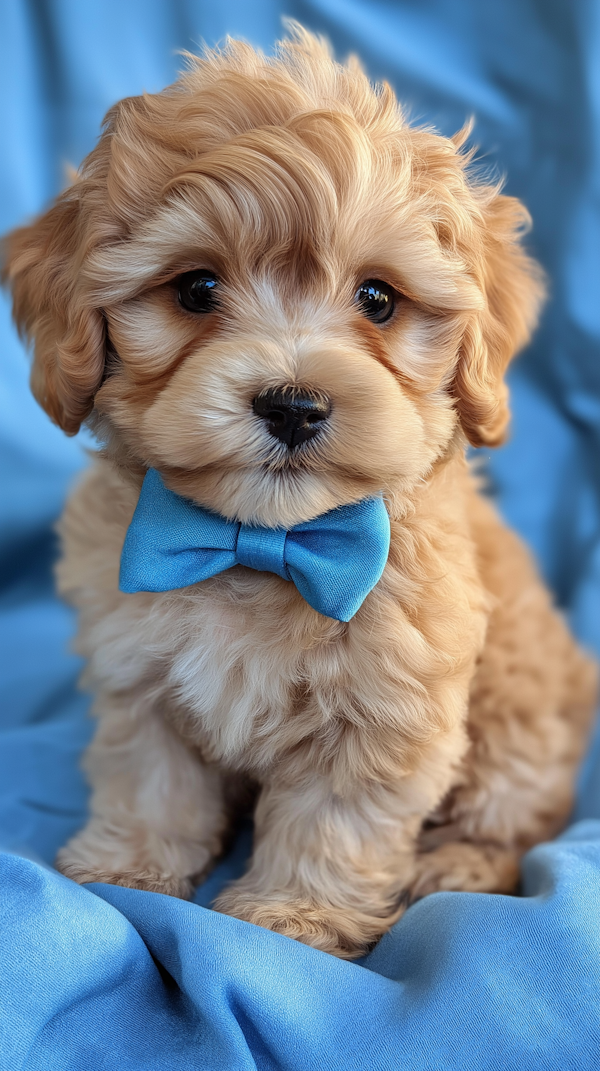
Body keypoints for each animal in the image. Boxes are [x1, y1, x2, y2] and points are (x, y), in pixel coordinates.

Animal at [3, 29, 595, 959]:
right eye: (197, 289)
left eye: (378, 298)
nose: (293, 403)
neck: (265, 540)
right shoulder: (138, 674)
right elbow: (151, 777)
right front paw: (130, 866)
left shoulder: (387, 709)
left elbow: (333, 819)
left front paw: (293, 914)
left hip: (519, 714)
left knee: (517, 817)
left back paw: (458, 864)